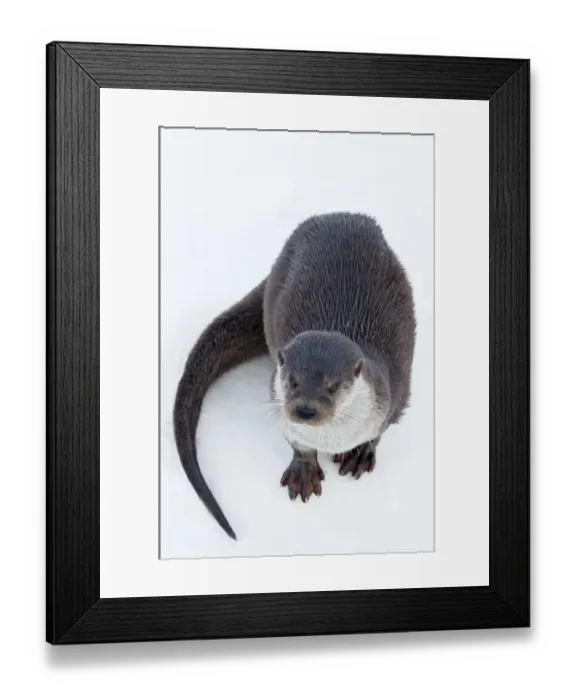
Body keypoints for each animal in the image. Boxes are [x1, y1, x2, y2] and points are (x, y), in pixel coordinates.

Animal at [173, 212, 416, 540]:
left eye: (333, 386)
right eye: (292, 380)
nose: (304, 409)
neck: (332, 439)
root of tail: (345, 216)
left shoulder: (395, 393)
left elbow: (380, 432)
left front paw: (361, 452)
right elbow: (298, 444)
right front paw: (304, 470)